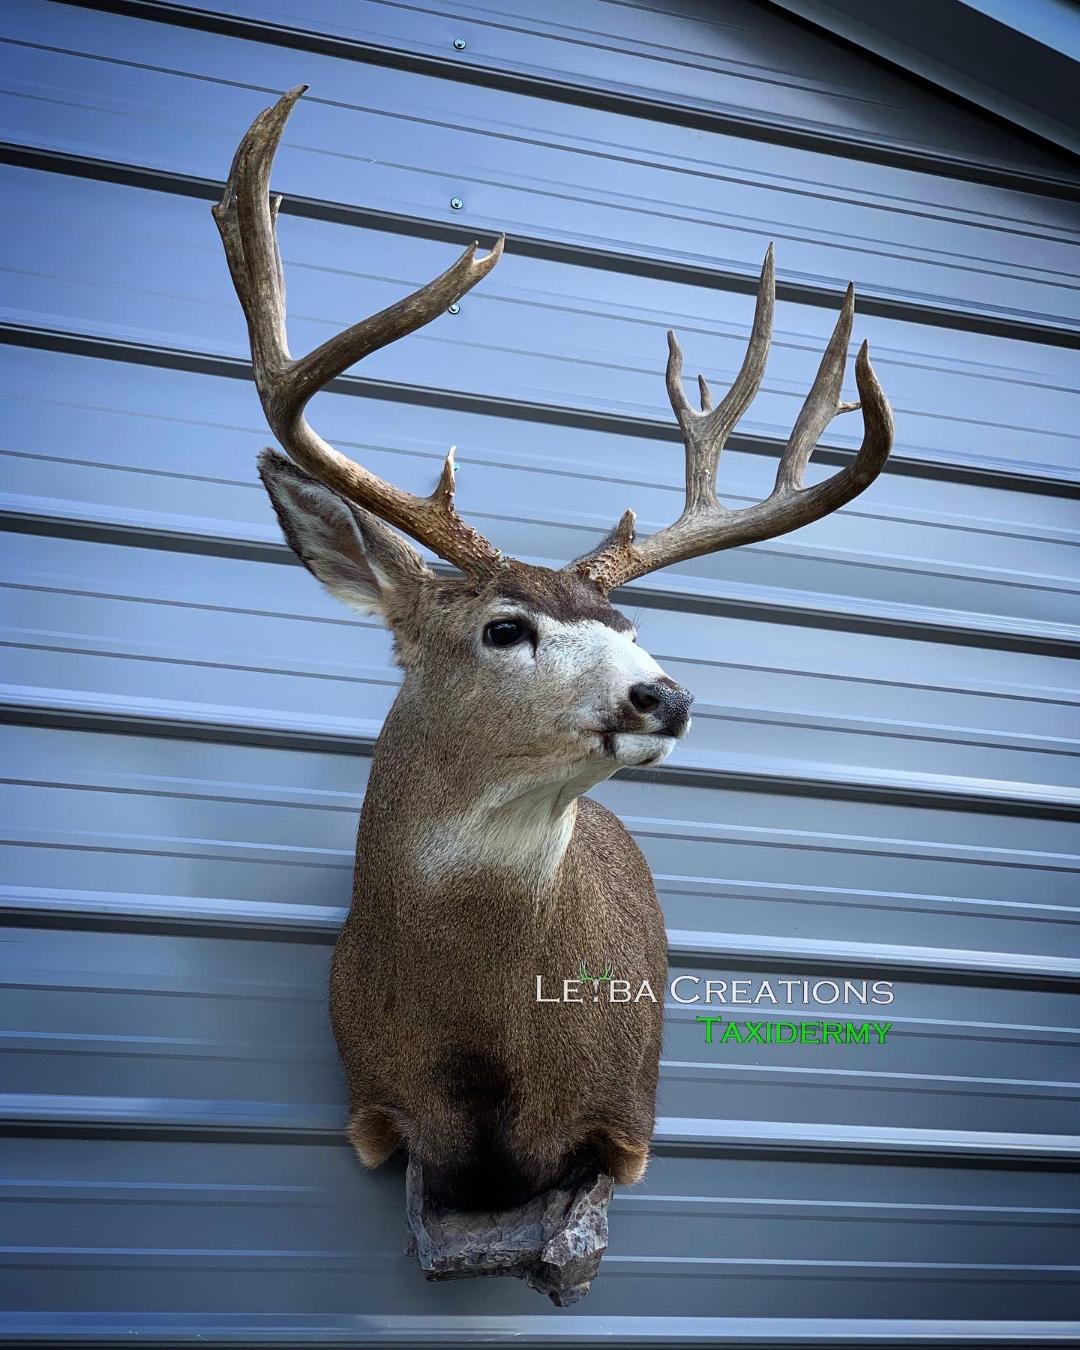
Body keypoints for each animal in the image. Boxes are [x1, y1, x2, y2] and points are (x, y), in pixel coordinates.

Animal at [213, 87, 894, 1214]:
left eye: (629, 629)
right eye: (504, 627)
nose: (666, 696)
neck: (485, 1047)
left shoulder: (622, 1126)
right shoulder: (377, 1116)